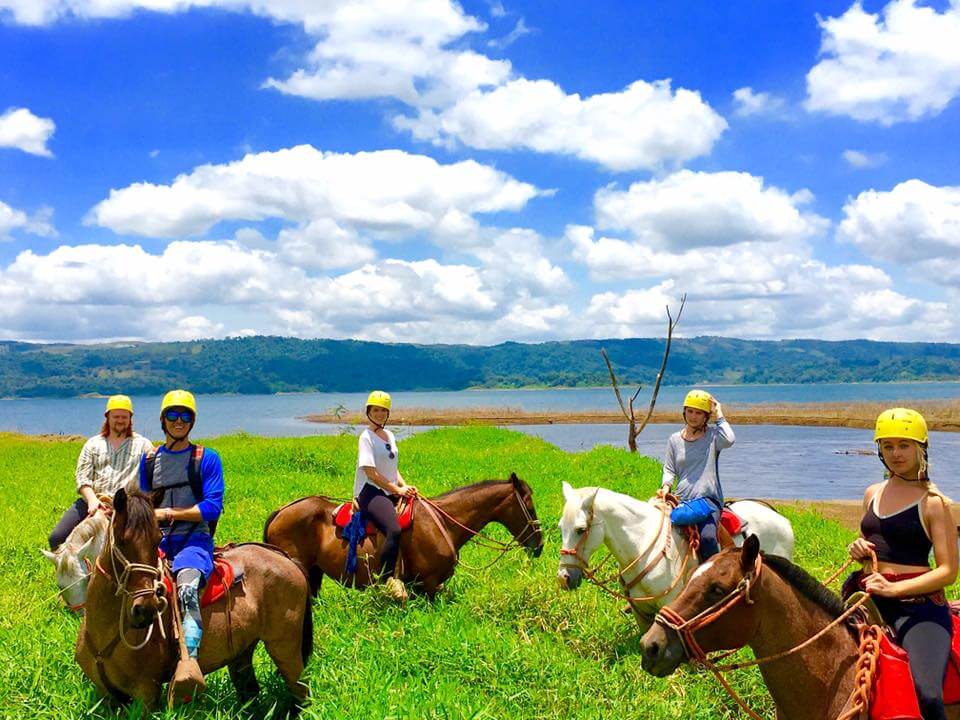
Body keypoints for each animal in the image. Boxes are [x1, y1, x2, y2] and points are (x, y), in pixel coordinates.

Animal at [77, 486, 316, 712]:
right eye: (122, 539)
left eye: (158, 539)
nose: (146, 608)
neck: (104, 633)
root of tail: (286, 559)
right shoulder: (106, 696)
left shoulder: (146, 694)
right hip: (242, 651)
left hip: (285, 649)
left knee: (301, 692)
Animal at [262, 476, 544, 600]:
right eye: (530, 507)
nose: (539, 545)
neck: (443, 524)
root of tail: (281, 511)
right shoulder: (429, 584)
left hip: (314, 572)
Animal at [556, 484, 796, 632]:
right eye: (560, 527)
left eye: (580, 529)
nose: (563, 578)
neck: (643, 546)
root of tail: (781, 518)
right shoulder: (640, 613)